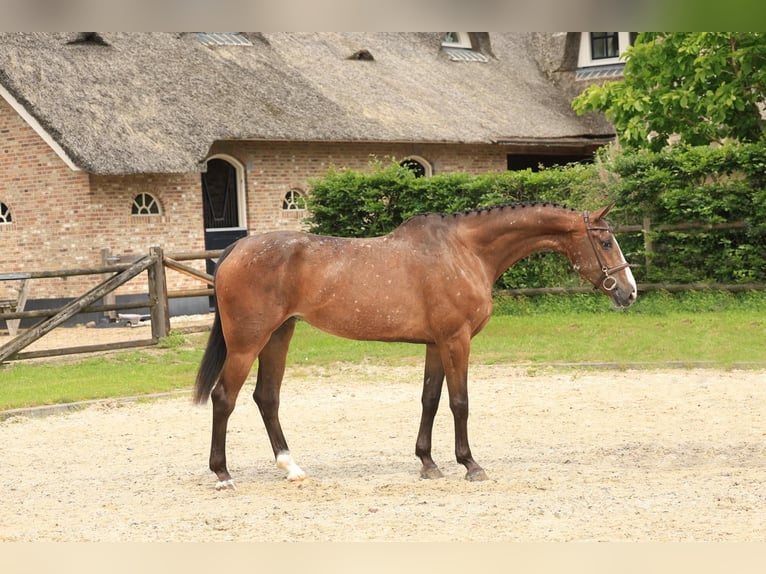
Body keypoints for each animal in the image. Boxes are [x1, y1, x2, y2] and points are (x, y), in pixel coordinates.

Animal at [194, 201, 636, 490]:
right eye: (606, 242)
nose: (629, 292)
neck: (464, 252)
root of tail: (236, 249)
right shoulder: (456, 340)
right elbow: (460, 402)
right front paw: (470, 464)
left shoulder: (436, 344)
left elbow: (430, 400)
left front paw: (428, 462)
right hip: (248, 343)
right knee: (224, 397)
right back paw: (222, 474)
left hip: (278, 336)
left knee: (266, 398)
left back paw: (291, 467)